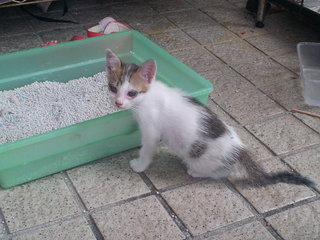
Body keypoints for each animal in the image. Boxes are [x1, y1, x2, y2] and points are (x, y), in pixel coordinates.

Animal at [105, 48, 316, 188]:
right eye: (113, 88)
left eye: (132, 93)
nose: (118, 103)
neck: (147, 97)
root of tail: (240, 150)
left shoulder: (151, 131)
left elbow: (147, 150)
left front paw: (140, 165)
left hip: (203, 160)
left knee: (223, 172)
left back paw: (196, 172)